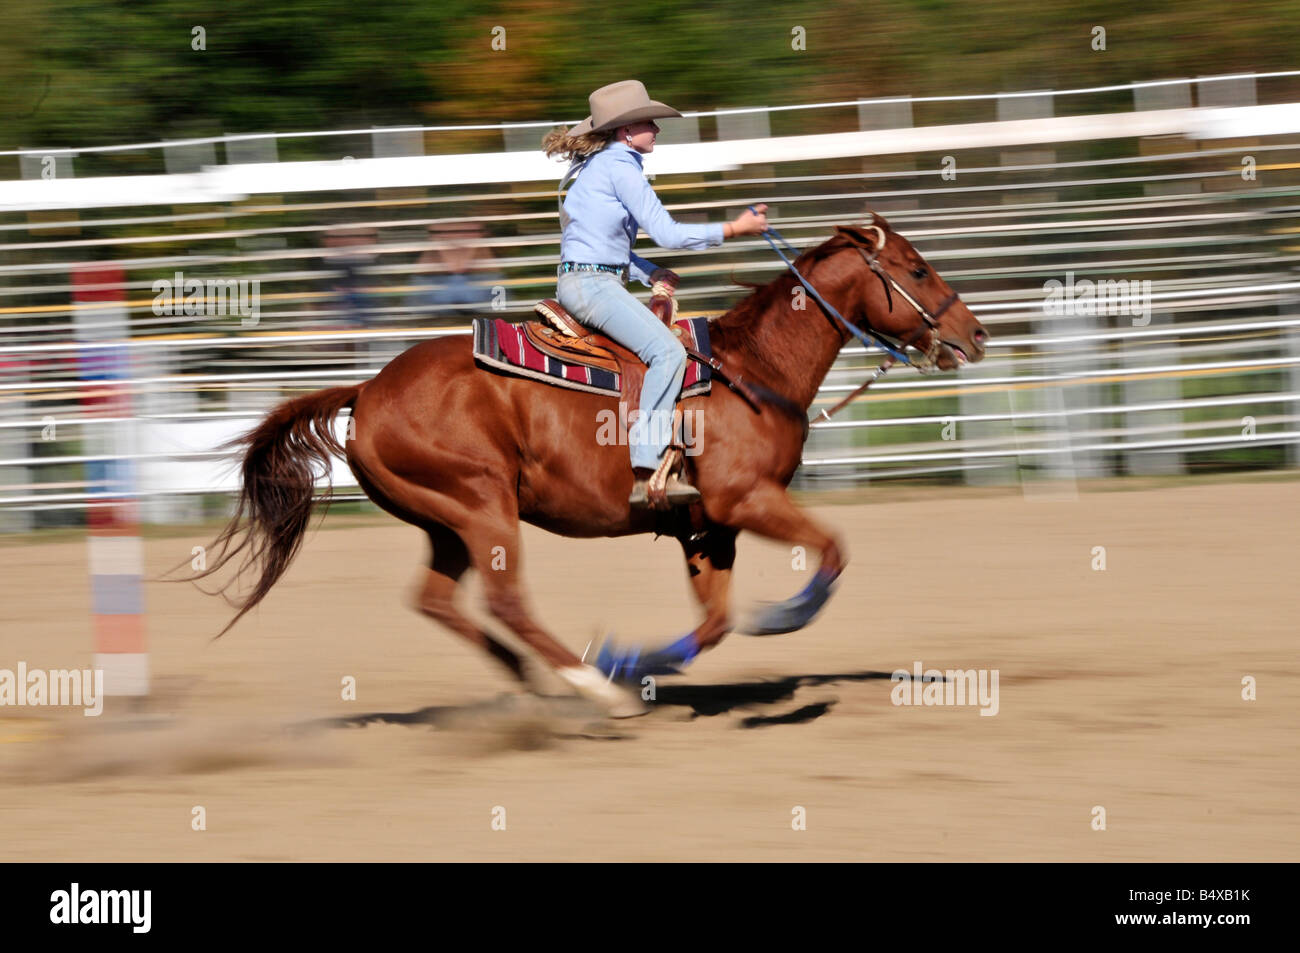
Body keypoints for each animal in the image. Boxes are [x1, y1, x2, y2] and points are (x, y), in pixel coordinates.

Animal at [197, 210, 982, 712]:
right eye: (916, 268)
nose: (974, 335)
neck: (752, 370)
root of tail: (366, 390)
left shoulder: (708, 527)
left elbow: (715, 622)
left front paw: (636, 662)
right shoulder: (745, 500)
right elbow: (832, 551)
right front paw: (780, 618)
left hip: (445, 520)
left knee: (437, 600)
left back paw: (538, 680)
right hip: (482, 505)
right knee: (506, 601)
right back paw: (587, 686)